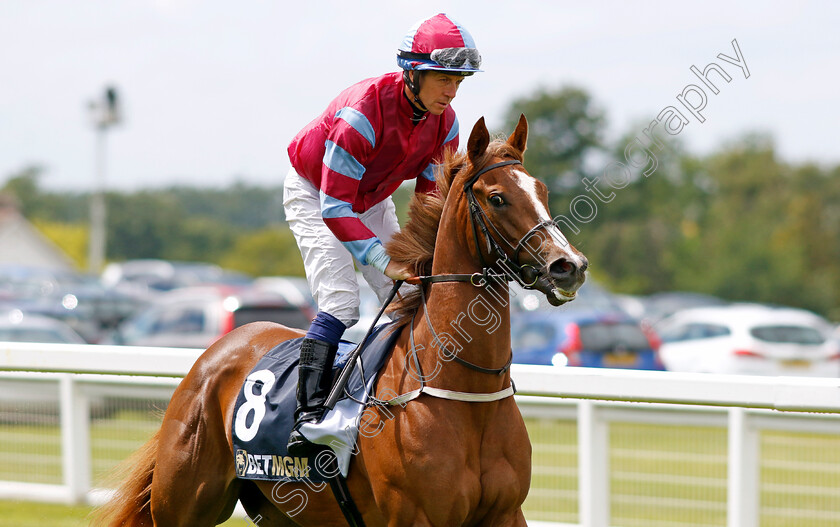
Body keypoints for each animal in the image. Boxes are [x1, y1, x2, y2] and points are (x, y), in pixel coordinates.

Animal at [93, 115, 584, 527]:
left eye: (542, 191)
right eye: (497, 198)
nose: (569, 266)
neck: (466, 392)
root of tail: (215, 352)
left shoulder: (505, 514)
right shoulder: (415, 518)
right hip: (183, 504)